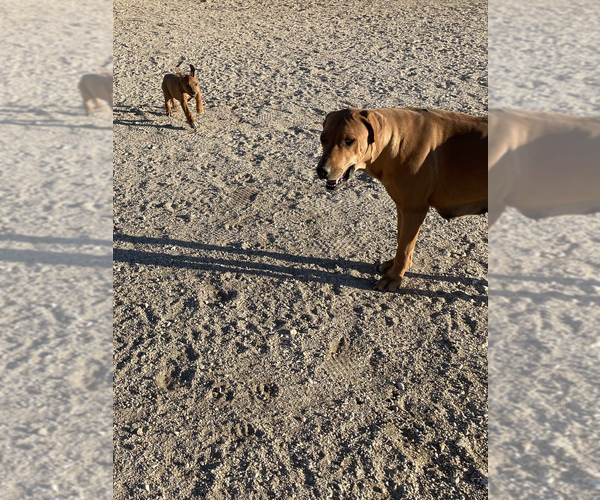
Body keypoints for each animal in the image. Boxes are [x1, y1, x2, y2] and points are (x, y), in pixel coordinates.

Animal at [316, 107, 490, 292]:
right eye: (323, 138)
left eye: (349, 141)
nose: (321, 171)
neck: (394, 142)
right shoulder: (403, 207)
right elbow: (401, 241)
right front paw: (395, 265)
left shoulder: (414, 210)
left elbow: (404, 249)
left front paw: (394, 277)